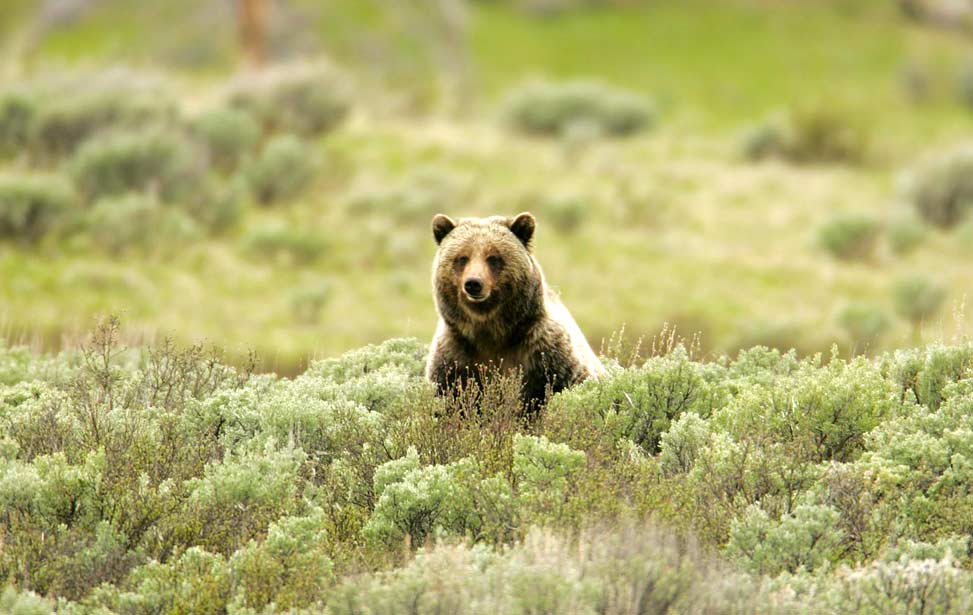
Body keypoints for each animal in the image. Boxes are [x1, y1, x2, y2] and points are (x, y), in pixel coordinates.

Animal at [424, 212, 600, 410]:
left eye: (493, 257)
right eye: (462, 258)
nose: (473, 283)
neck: (491, 331)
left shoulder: (546, 354)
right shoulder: (454, 358)